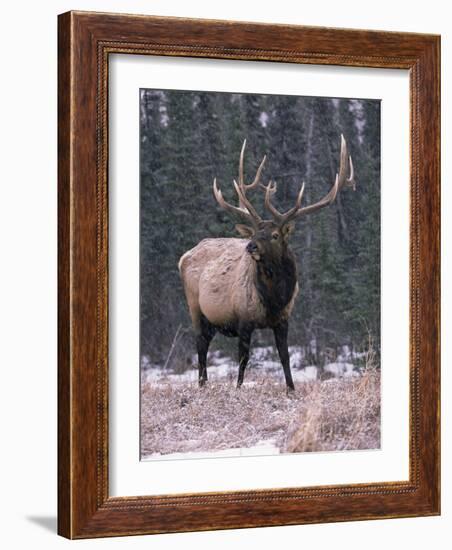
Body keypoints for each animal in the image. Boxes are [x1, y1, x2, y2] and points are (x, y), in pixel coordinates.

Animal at [178, 135, 354, 390]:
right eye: (254, 233)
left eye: (275, 235)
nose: (250, 246)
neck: (274, 298)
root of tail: (183, 257)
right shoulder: (243, 319)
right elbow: (243, 359)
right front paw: (238, 388)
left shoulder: (283, 319)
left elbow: (284, 356)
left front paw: (291, 389)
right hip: (195, 308)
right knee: (200, 346)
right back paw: (202, 384)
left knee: (205, 344)